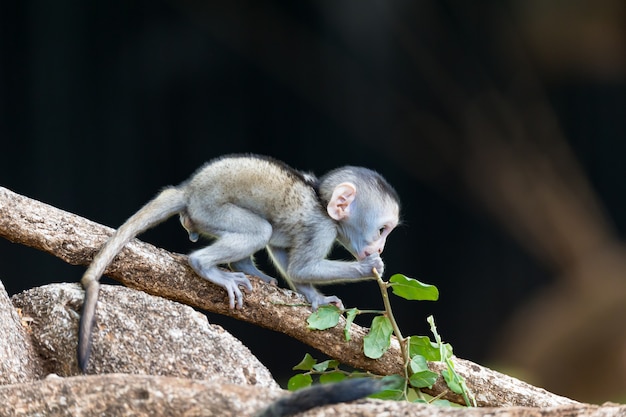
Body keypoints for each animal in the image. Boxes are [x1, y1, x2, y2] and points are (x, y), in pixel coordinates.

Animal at [77, 154, 400, 368]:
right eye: (381, 230)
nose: (381, 247)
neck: (321, 200)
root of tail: (188, 191)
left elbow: (287, 256)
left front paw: (315, 298)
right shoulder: (321, 227)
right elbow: (301, 267)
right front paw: (368, 267)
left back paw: (245, 268)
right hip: (211, 210)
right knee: (258, 231)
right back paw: (207, 266)